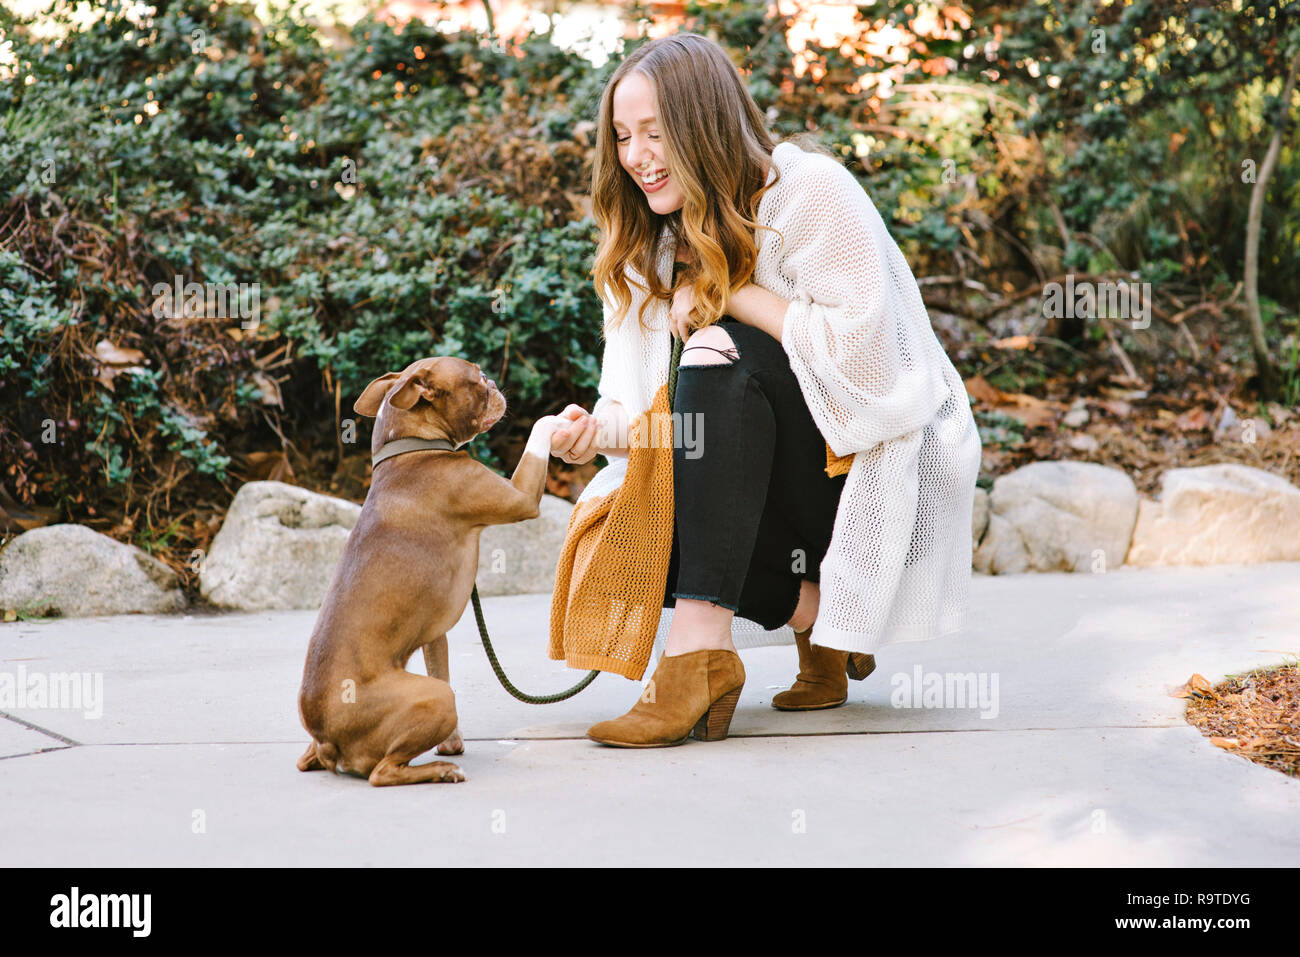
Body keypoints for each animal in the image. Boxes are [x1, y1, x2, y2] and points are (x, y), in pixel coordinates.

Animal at [299, 356, 564, 780]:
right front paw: (560, 418)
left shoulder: (433, 634)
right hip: (432, 699)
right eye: (478, 378)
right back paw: (439, 770)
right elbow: (540, 431)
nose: (494, 382)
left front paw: (452, 741)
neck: (412, 448)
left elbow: (441, 665)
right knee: (382, 772)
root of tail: (326, 738)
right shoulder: (521, 497)